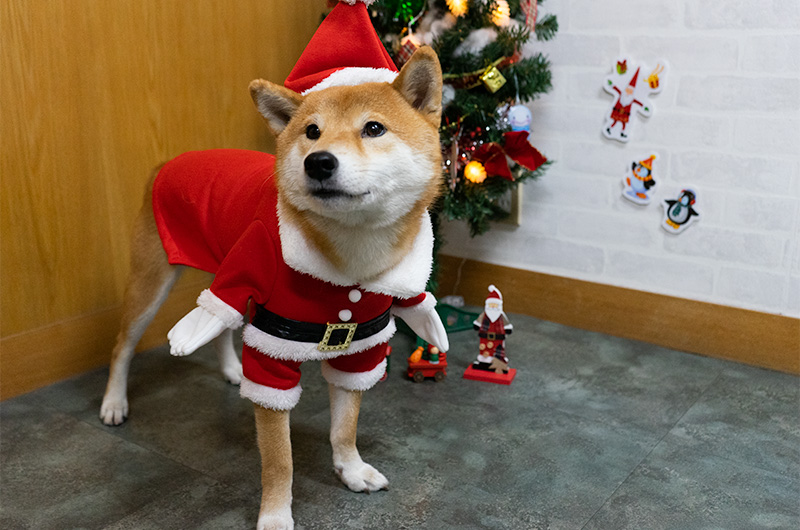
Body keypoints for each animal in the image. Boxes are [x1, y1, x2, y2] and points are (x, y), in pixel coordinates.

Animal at [98, 18, 450, 524]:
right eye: (312, 132)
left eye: (374, 128)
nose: (318, 161)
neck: (350, 259)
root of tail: (171, 160)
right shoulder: (272, 354)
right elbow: (280, 461)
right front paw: (276, 516)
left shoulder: (360, 346)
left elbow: (345, 428)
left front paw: (351, 469)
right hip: (152, 284)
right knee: (123, 345)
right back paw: (113, 402)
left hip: (229, 271)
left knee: (224, 324)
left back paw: (230, 369)